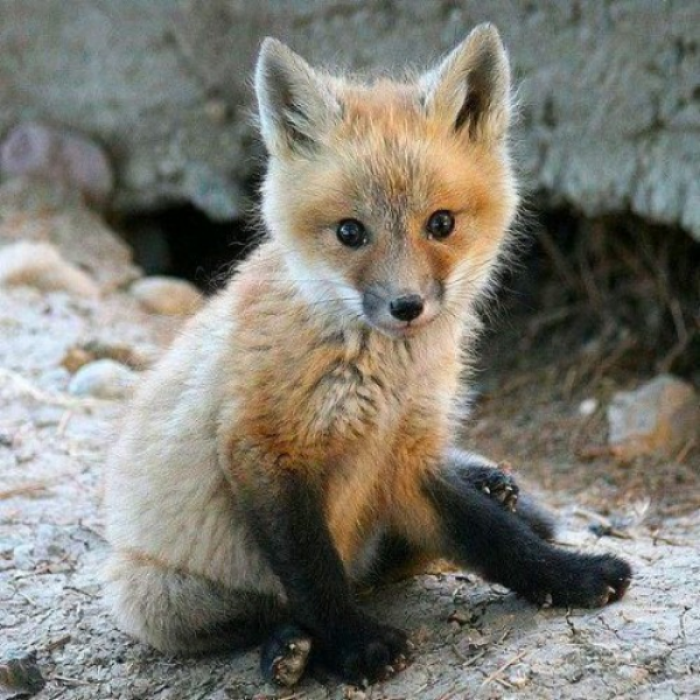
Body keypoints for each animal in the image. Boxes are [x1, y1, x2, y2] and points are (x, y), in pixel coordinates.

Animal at [103, 24, 632, 688]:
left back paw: (490, 482)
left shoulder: (406, 456)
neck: (385, 378)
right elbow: (314, 574)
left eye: (442, 223)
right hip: (158, 596)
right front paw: (356, 645)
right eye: (350, 232)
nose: (407, 306)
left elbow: (497, 540)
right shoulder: (264, 451)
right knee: (266, 609)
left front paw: (570, 577)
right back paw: (287, 648)